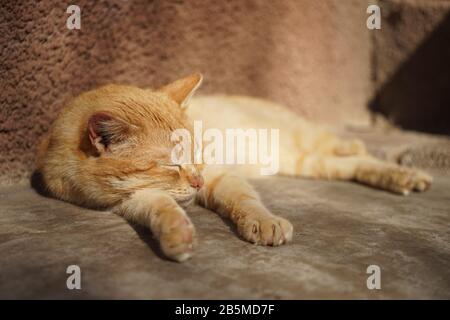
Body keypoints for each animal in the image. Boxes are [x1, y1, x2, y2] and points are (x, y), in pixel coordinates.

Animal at [36, 74, 432, 262]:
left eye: (199, 152)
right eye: (172, 164)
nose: (197, 183)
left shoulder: (220, 174)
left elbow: (245, 200)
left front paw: (265, 222)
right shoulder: (128, 200)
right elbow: (159, 206)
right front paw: (177, 233)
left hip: (307, 141)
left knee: (357, 150)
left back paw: (404, 171)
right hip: (305, 162)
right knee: (351, 164)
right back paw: (400, 176)